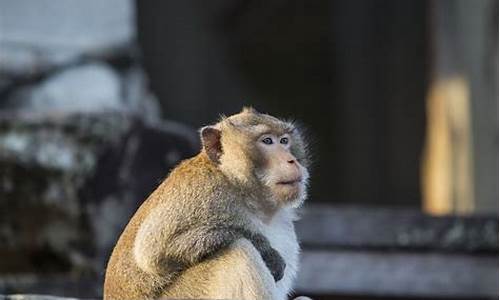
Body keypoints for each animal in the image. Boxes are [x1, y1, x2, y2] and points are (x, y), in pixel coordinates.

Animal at [104, 108, 310, 300]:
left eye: (284, 141)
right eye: (267, 141)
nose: (291, 160)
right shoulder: (204, 192)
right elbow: (151, 252)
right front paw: (266, 251)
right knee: (238, 249)